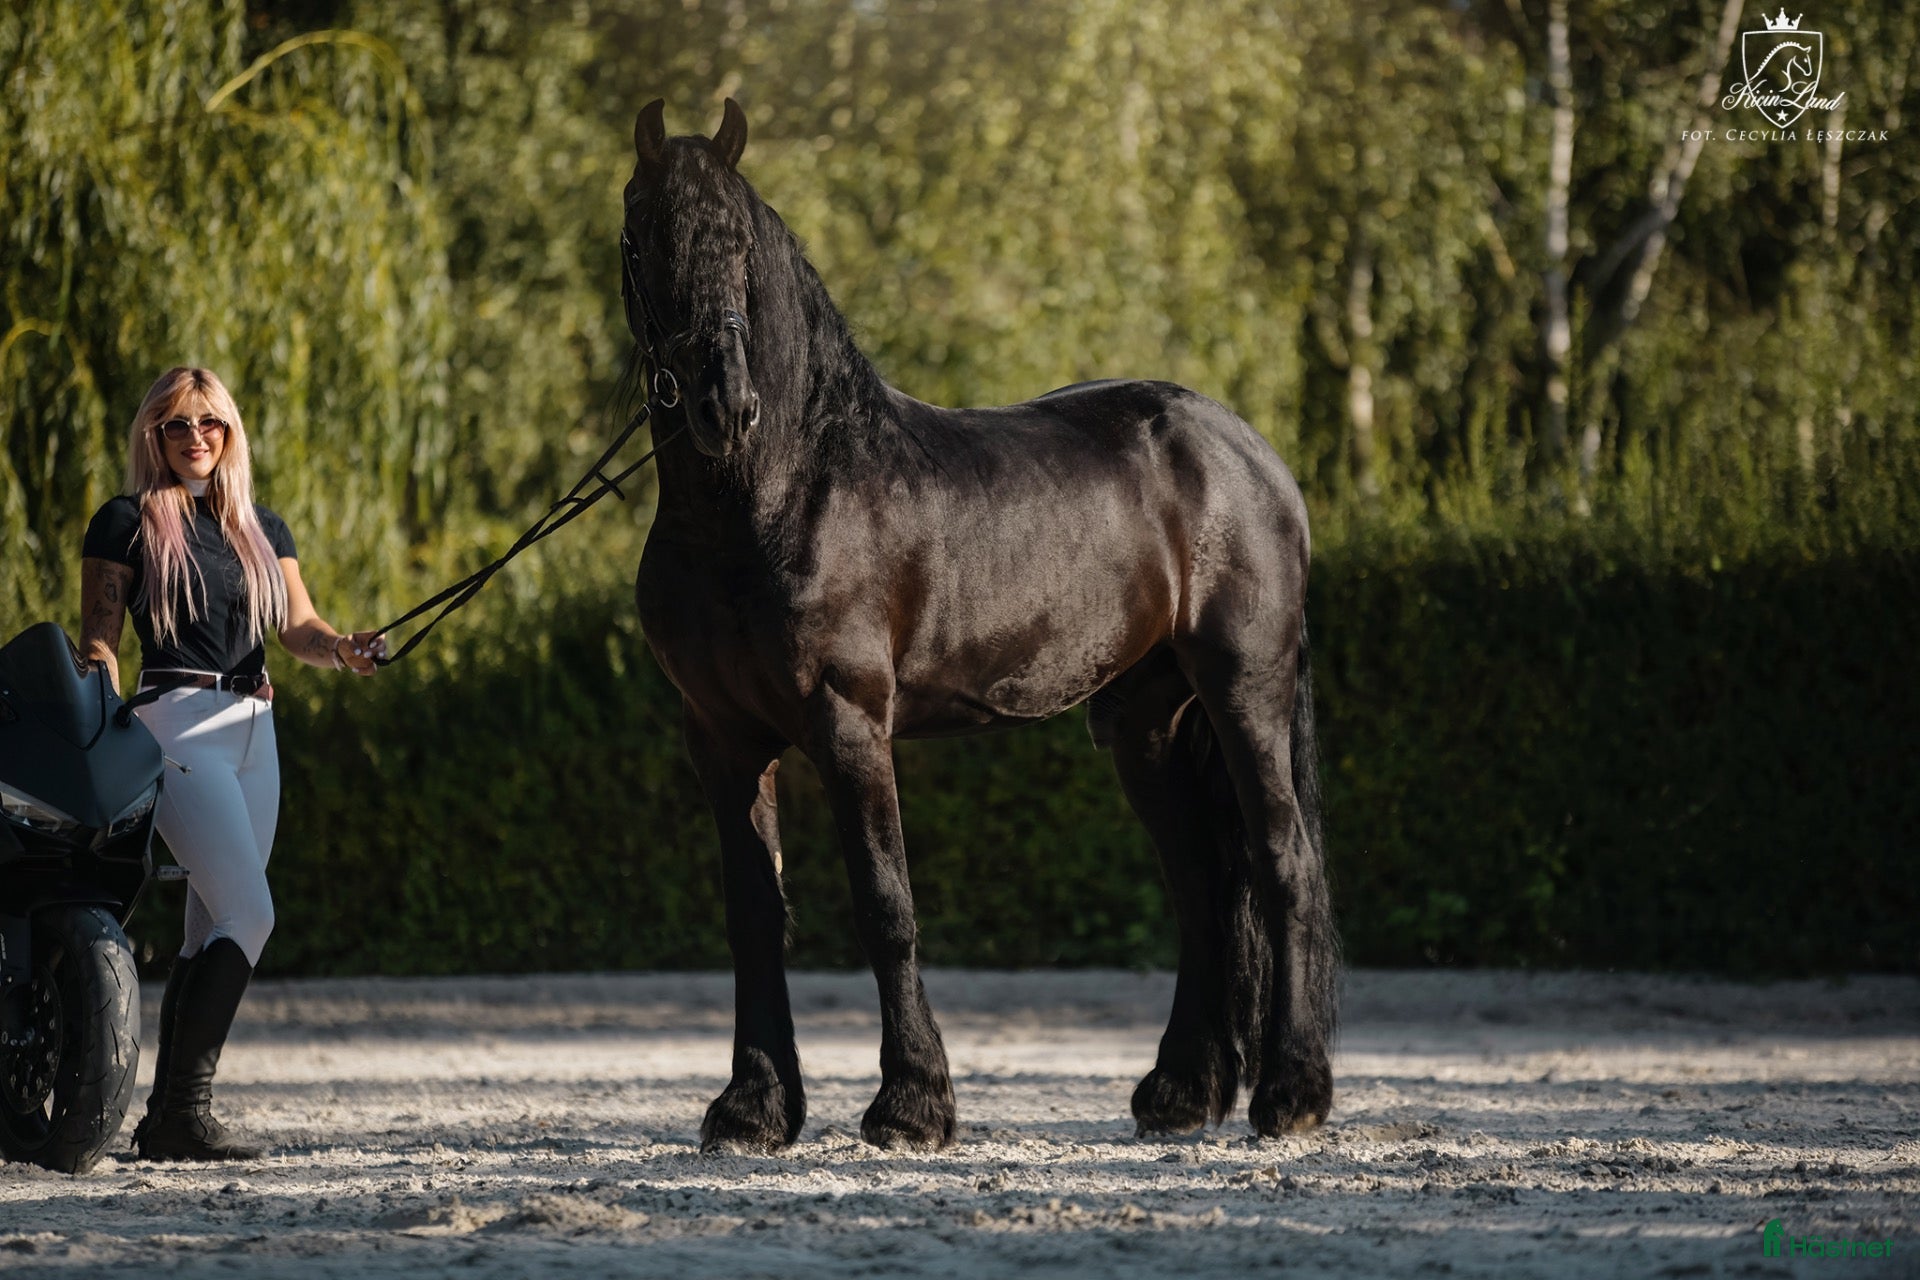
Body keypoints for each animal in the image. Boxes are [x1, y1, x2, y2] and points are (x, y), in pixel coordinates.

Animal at [621, 98, 1338, 1152]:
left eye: (740, 244)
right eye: (645, 237)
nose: (724, 405)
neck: (781, 494)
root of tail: (1251, 454)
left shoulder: (848, 723)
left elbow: (885, 903)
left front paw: (912, 1105)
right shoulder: (721, 736)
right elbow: (755, 915)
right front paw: (752, 1110)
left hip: (1244, 689)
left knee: (1282, 864)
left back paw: (1291, 1095)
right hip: (1146, 724)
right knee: (1205, 884)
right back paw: (1179, 1093)